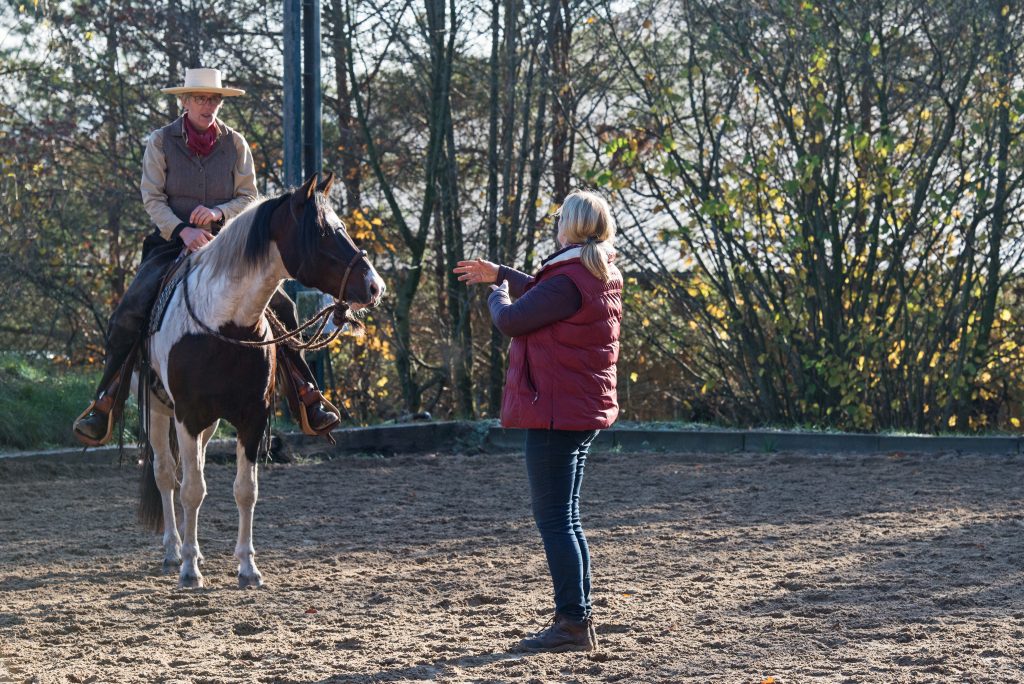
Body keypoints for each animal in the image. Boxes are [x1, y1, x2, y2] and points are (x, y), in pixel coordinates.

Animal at [136, 175, 385, 589]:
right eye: (323, 232)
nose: (375, 286)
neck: (226, 323)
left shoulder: (251, 417)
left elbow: (245, 490)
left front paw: (247, 568)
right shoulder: (188, 415)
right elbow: (190, 490)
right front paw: (189, 571)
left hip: (209, 424)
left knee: (192, 469)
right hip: (160, 410)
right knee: (167, 475)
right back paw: (174, 551)